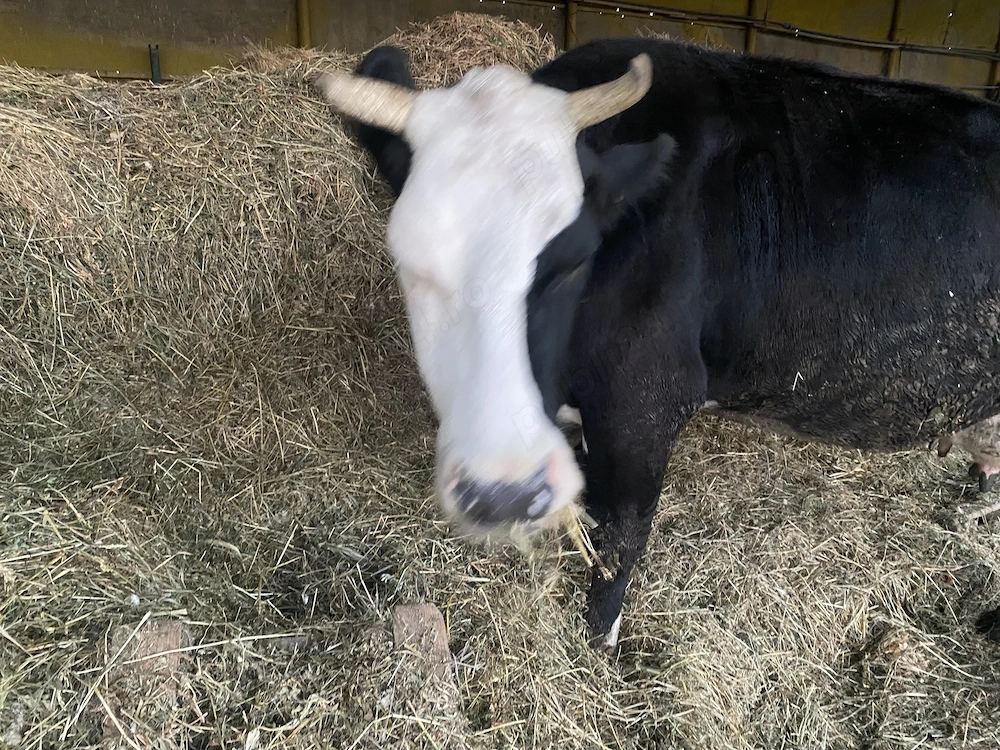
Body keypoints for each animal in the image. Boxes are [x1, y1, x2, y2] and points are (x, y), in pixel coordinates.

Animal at [313, 37, 1000, 651]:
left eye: (572, 260)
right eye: (412, 262)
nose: (503, 493)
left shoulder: (641, 405)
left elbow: (620, 544)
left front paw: (597, 652)